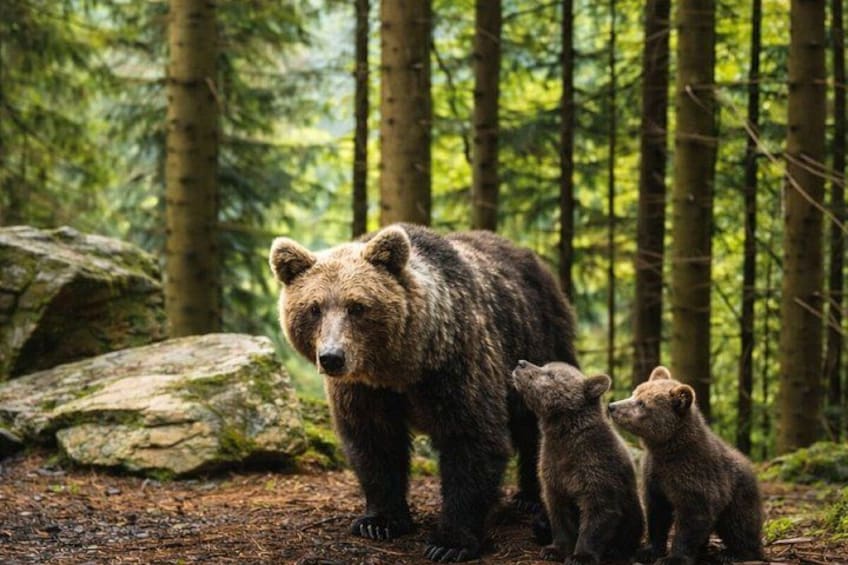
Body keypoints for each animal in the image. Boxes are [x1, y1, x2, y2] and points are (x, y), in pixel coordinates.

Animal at [268, 224, 578, 562]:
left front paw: (450, 542)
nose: (332, 357)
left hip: (537, 341)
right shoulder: (363, 390)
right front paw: (379, 521)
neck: (401, 368)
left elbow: (471, 438)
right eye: (314, 308)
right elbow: (374, 442)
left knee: (536, 424)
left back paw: (531, 499)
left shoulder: (455, 365)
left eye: (356, 306)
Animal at [511, 360, 644, 564]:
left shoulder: (598, 472)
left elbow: (597, 516)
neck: (564, 439)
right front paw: (555, 549)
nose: (521, 363)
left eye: (551, 374)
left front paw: (581, 556)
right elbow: (559, 515)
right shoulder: (552, 472)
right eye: (544, 366)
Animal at [608, 366, 764, 565]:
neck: (666, 449)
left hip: (739, 493)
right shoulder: (654, 475)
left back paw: (734, 553)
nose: (612, 406)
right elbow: (657, 513)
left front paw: (674, 557)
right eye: (635, 393)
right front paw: (648, 551)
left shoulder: (695, 476)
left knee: (739, 523)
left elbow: (693, 517)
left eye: (642, 403)